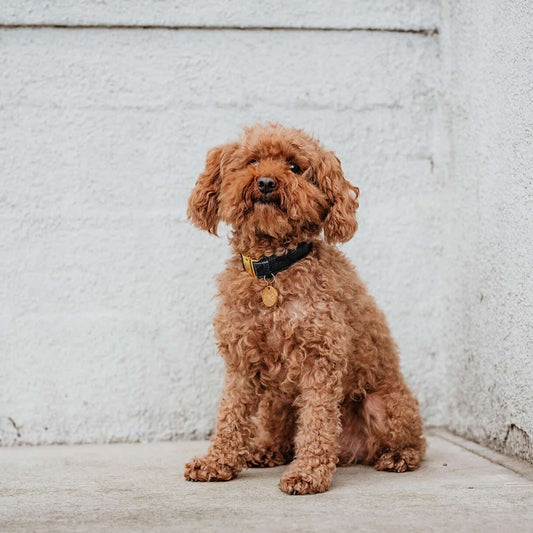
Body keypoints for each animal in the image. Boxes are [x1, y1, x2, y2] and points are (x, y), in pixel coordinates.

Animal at [185, 122, 426, 492]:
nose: (266, 183)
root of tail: (351, 451)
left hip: (383, 404)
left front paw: (308, 472)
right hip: (277, 399)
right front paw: (217, 462)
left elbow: (317, 421)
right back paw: (267, 449)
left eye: (294, 166)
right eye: (252, 161)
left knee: (414, 442)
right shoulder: (242, 362)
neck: (273, 268)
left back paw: (398, 457)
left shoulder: (321, 358)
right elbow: (230, 414)